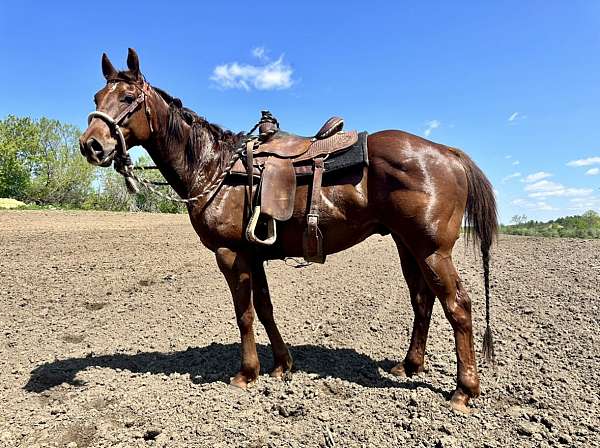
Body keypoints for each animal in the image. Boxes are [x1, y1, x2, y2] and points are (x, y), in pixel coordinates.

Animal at [82, 49, 500, 412]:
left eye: (129, 97)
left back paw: (464, 390)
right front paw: (282, 365)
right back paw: (409, 366)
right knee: (422, 301)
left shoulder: (230, 253)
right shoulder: (253, 253)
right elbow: (265, 308)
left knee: (458, 305)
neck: (215, 167)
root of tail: (447, 152)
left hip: (431, 250)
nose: (91, 145)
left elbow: (244, 314)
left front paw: (246, 373)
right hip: (406, 244)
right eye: (98, 96)